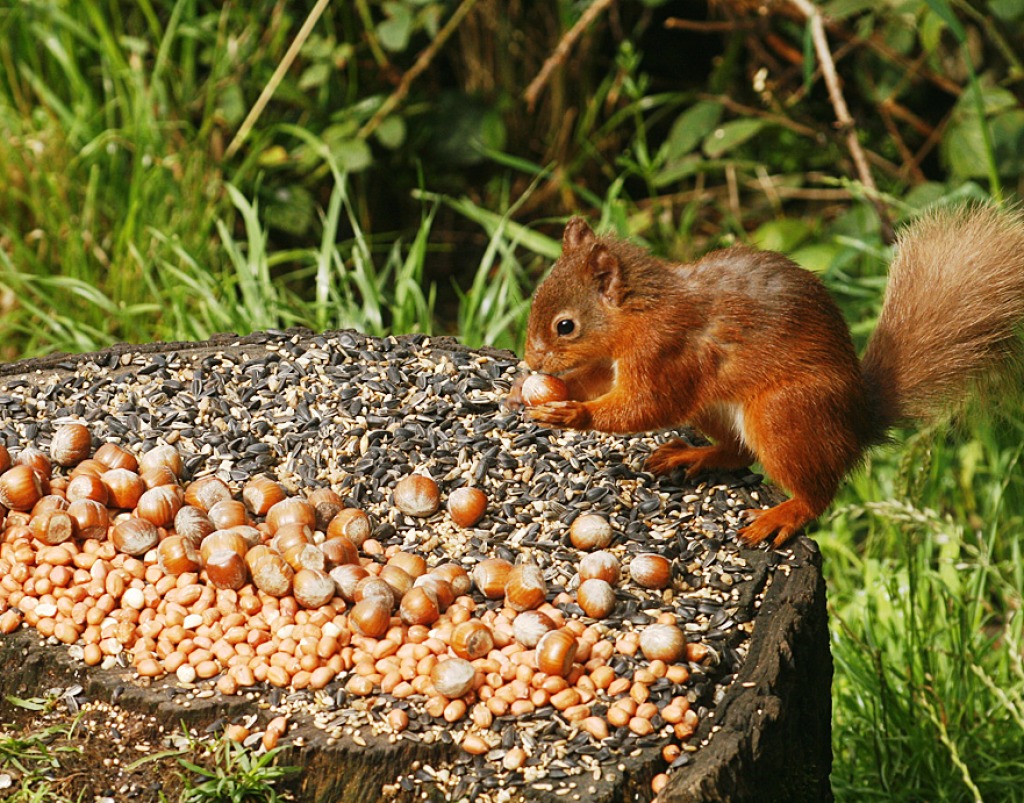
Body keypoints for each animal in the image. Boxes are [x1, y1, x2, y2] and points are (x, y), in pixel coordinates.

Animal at [524, 206, 1024, 544]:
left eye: (565, 326)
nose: (532, 362)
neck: (638, 314)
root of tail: (857, 423)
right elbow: (601, 384)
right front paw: (544, 390)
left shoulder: (667, 351)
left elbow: (648, 405)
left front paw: (572, 414)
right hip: (720, 413)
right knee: (738, 452)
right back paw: (692, 455)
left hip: (784, 416)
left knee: (817, 493)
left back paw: (782, 515)